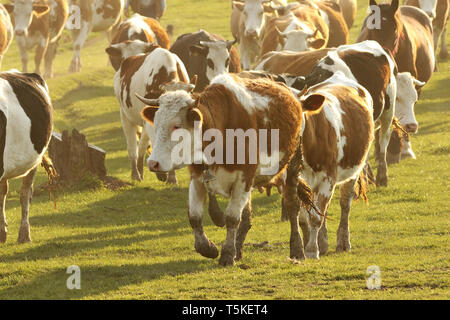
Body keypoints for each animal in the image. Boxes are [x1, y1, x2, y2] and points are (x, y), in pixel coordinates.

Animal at [114, 45, 190, 185]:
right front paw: (164, 175)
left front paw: (170, 177)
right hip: (125, 117)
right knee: (133, 148)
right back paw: (136, 174)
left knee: (142, 146)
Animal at [135, 74, 322, 264]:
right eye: (156, 123)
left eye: (177, 125)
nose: (153, 163)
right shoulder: (197, 178)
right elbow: (194, 216)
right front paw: (209, 248)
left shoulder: (244, 178)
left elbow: (232, 218)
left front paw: (226, 254)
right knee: (247, 217)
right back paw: (238, 250)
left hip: (292, 164)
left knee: (292, 206)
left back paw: (297, 249)